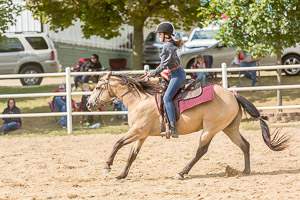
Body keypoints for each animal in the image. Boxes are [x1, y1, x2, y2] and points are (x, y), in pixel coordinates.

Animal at [86, 72, 288, 180]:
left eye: (97, 88)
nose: (88, 104)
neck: (139, 99)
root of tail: (233, 95)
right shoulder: (141, 135)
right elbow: (132, 155)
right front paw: (121, 175)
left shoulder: (136, 131)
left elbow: (117, 143)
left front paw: (107, 166)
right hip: (229, 129)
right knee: (245, 145)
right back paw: (245, 171)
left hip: (210, 130)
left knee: (201, 151)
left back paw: (181, 173)